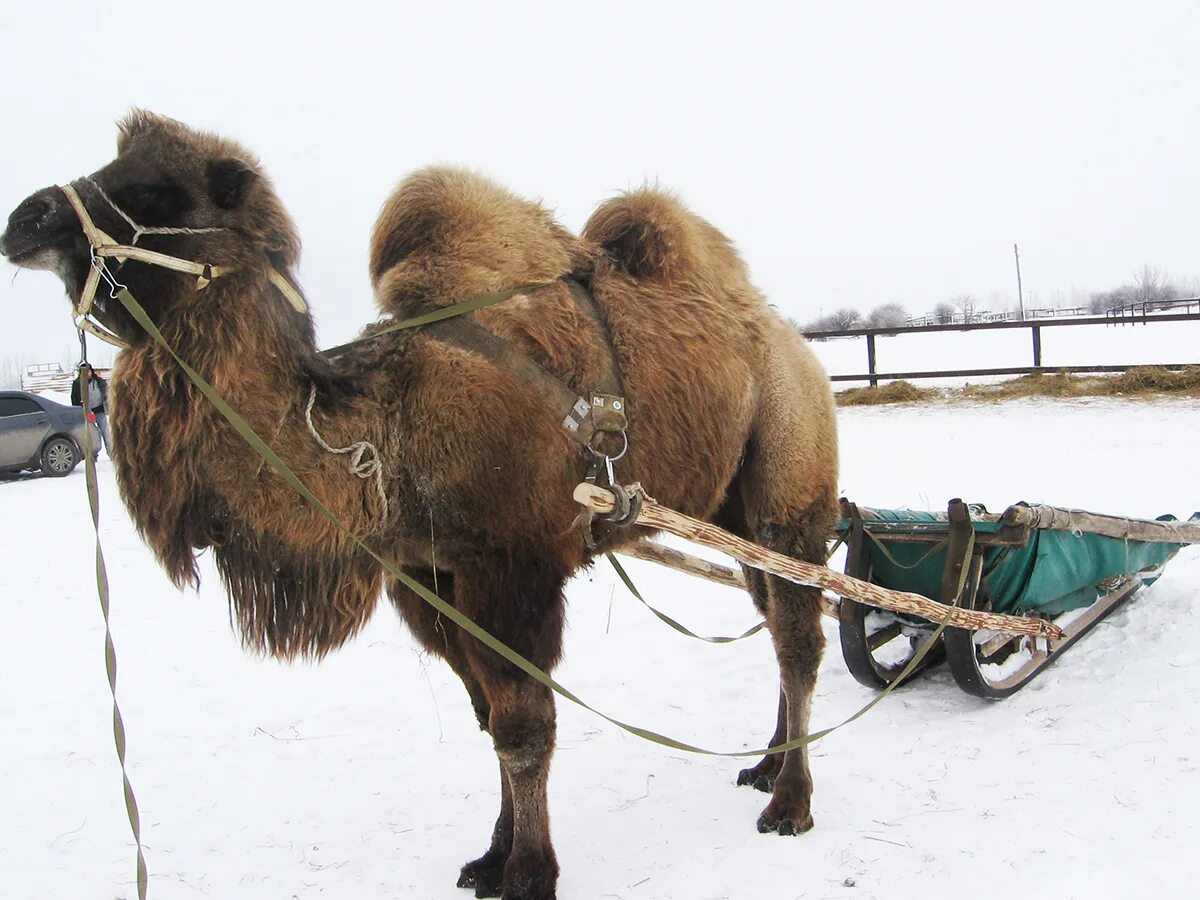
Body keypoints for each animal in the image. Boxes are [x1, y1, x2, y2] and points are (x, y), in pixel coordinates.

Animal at [0, 112, 840, 900]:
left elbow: (524, 726)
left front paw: (530, 874)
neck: (387, 428)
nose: (26, 218)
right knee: (772, 617)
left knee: (799, 639)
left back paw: (790, 805)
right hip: (730, 511)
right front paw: (491, 859)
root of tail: (794, 343)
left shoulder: (513, 568)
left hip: (790, 489)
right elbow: (487, 718)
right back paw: (766, 766)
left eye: (155, 191)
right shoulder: (429, 577)